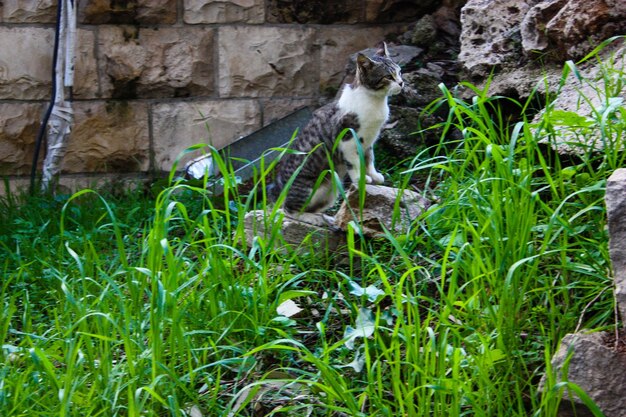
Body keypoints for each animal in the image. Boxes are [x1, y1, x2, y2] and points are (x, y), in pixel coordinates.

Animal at [266, 41, 402, 224]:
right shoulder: (348, 140)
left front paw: (374, 175)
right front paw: (360, 179)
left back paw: (325, 218)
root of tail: (278, 188)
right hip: (306, 188)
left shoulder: (369, 140)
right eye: (388, 76)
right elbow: (355, 162)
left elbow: (369, 159)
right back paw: (311, 219)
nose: (401, 83)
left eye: (399, 72)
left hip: (331, 189)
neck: (375, 101)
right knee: (289, 210)